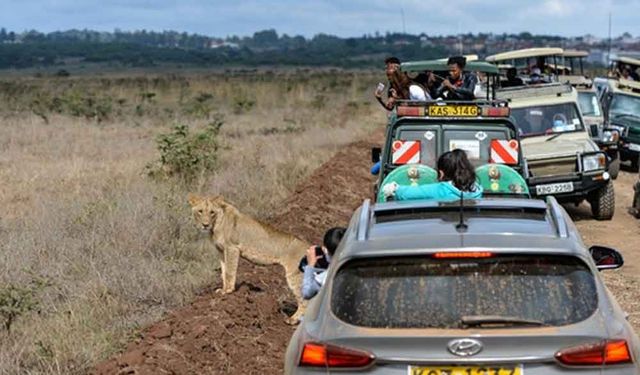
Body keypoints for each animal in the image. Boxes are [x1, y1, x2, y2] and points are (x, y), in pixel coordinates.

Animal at [188, 195, 310, 324]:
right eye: (200, 211)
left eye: (212, 212)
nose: (205, 225)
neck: (216, 225)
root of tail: (309, 247)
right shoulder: (221, 251)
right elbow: (223, 271)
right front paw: (223, 289)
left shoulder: (232, 248)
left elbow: (229, 271)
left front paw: (228, 291)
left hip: (295, 276)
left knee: (305, 301)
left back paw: (292, 320)